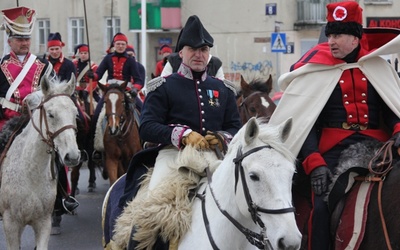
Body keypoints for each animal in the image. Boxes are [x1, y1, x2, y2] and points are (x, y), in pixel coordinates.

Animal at [0, 74, 82, 250]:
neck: (31, 172)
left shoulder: (43, 223)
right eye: (50, 114)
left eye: (75, 113)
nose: (72, 156)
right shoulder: (11, 223)